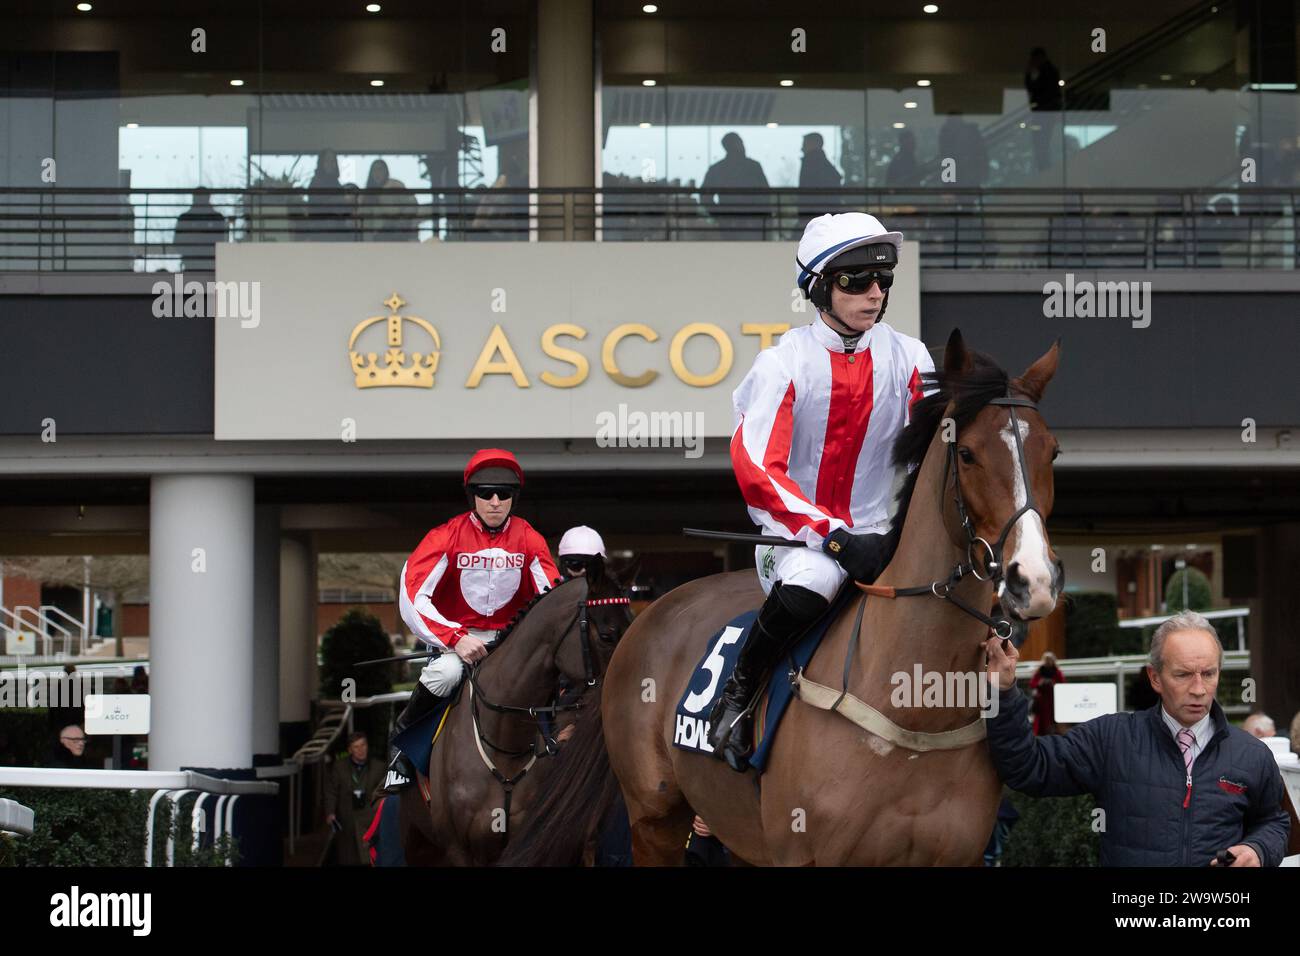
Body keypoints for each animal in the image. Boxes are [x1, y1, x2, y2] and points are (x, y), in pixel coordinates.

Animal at [501, 329, 1060, 868]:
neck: (914, 708)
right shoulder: (803, 852)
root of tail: (649, 612)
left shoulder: (960, 854)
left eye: (1051, 451)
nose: (1032, 579)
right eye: (967, 453)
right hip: (653, 815)